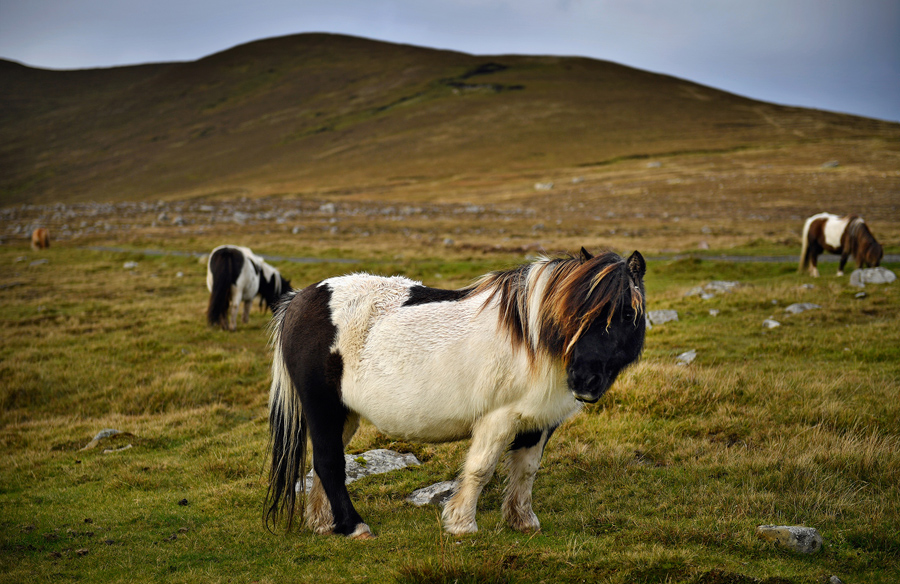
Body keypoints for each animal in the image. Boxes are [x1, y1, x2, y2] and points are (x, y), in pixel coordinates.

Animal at [268, 246, 648, 540]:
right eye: (575, 312)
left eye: (629, 313)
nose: (584, 381)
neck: (536, 341)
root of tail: (300, 300)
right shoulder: (498, 418)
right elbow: (481, 469)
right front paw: (462, 525)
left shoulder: (538, 421)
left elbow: (526, 470)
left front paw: (523, 522)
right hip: (322, 407)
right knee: (328, 462)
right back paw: (354, 527)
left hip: (343, 414)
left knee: (323, 463)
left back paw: (322, 524)